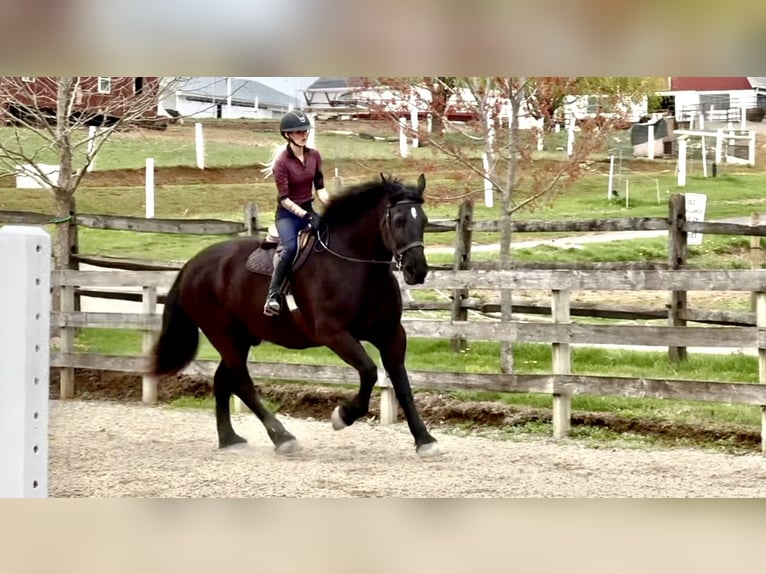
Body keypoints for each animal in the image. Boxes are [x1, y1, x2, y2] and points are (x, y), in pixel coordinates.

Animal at [148, 173, 444, 458]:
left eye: (424, 220)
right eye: (398, 219)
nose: (417, 270)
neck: (355, 268)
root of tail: (192, 264)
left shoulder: (391, 334)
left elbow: (403, 386)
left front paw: (425, 440)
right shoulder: (334, 334)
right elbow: (370, 372)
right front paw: (343, 416)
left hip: (241, 338)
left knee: (223, 380)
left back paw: (230, 440)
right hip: (223, 335)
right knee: (242, 383)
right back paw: (282, 437)